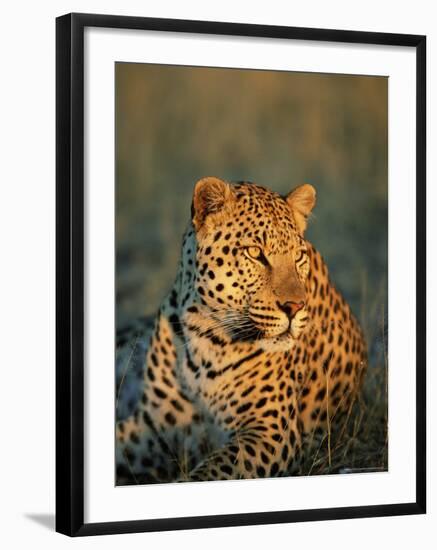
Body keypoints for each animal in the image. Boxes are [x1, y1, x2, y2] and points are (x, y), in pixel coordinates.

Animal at [114, 179, 366, 486]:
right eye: (255, 253)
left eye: (299, 256)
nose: (295, 307)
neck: (206, 333)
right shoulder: (154, 426)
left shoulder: (270, 430)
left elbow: (212, 471)